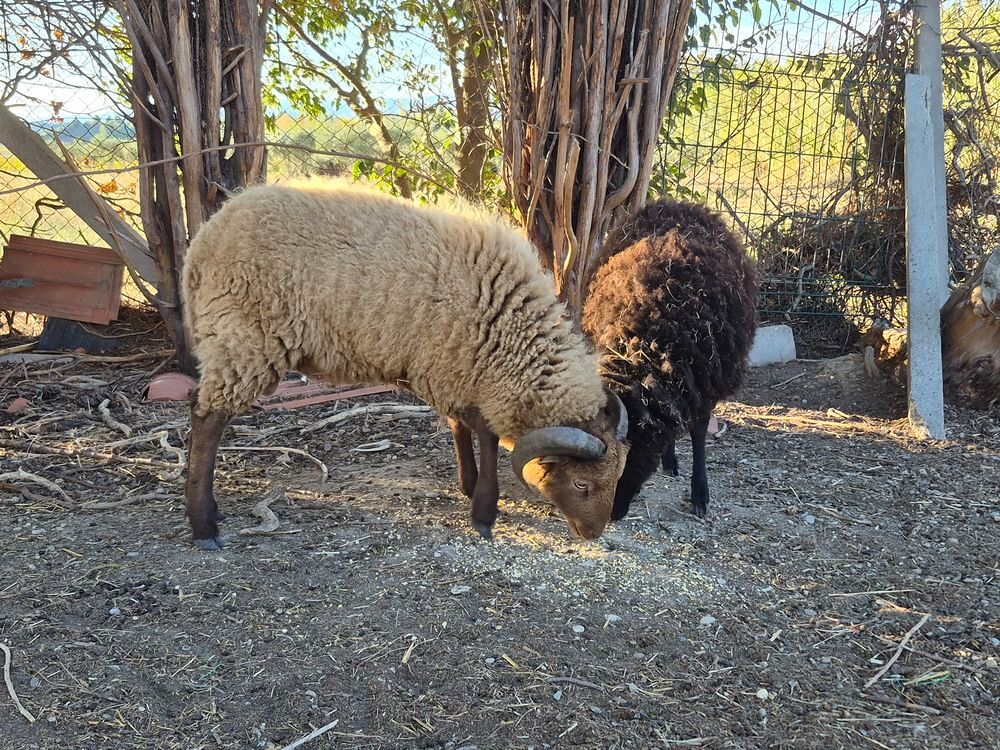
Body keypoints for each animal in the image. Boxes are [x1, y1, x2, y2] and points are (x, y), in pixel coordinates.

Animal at [181, 179, 629, 550]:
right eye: (581, 483)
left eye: (618, 474)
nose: (594, 534)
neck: (507, 323)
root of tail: (203, 240)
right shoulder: (445, 367)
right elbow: (483, 433)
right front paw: (484, 512)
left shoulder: (454, 367)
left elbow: (460, 427)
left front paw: (469, 486)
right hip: (246, 338)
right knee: (207, 420)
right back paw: (204, 526)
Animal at [581, 198, 759, 521]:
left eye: (628, 458)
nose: (613, 513)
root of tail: (677, 203)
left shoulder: (705, 384)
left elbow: (699, 433)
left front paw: (700, 494)